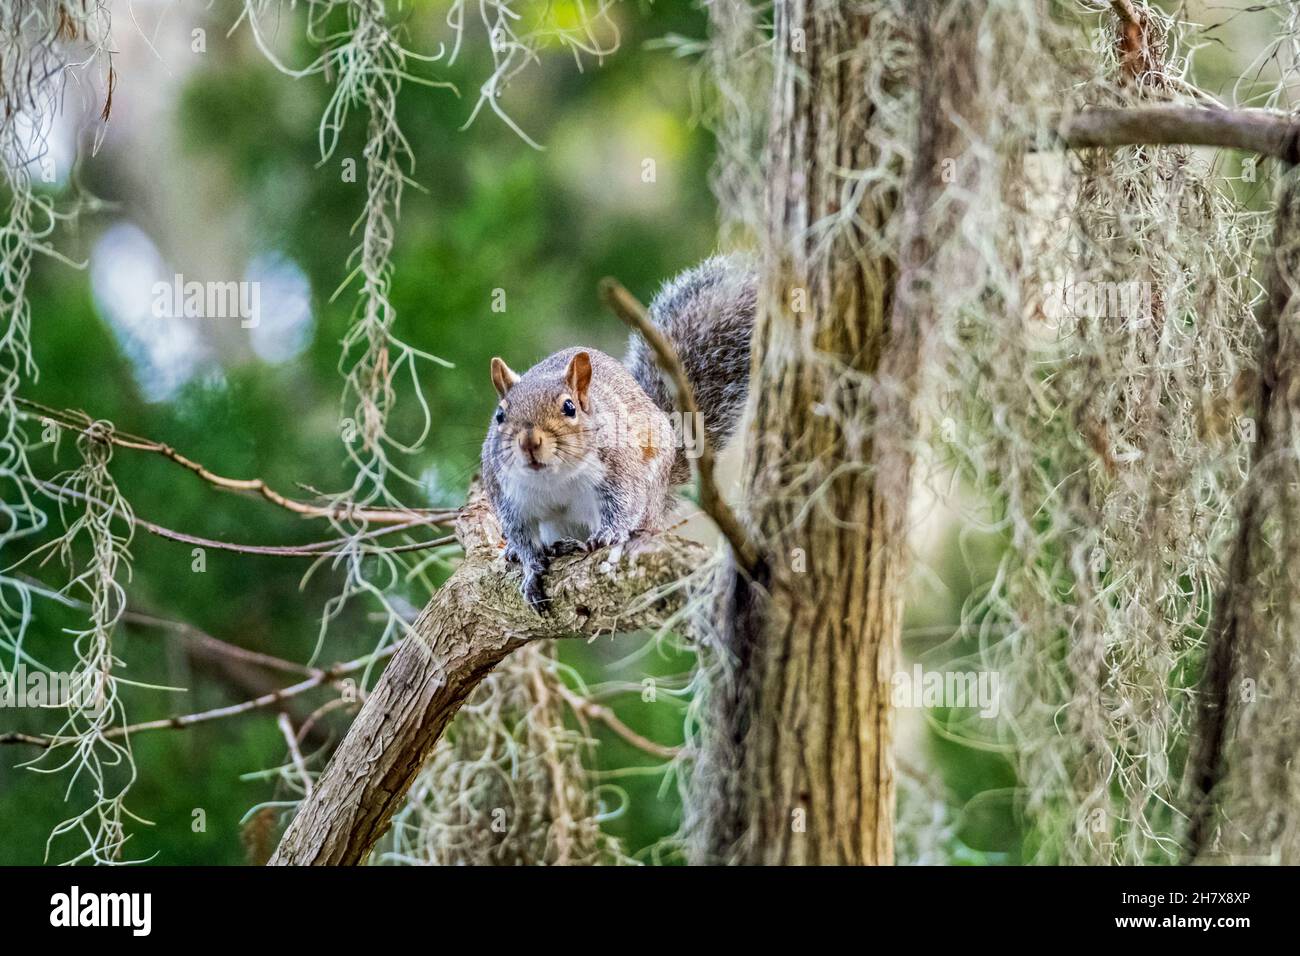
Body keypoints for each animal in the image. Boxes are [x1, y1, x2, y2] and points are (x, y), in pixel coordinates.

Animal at [483, 254, 759, 608]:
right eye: (500, 415)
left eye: (569, 408)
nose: (529, 442)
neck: (552, 478)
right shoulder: (507, 496)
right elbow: (522, 537)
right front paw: (530, 567)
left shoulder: (618, 468)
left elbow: (624, 502)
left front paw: (611, 533)